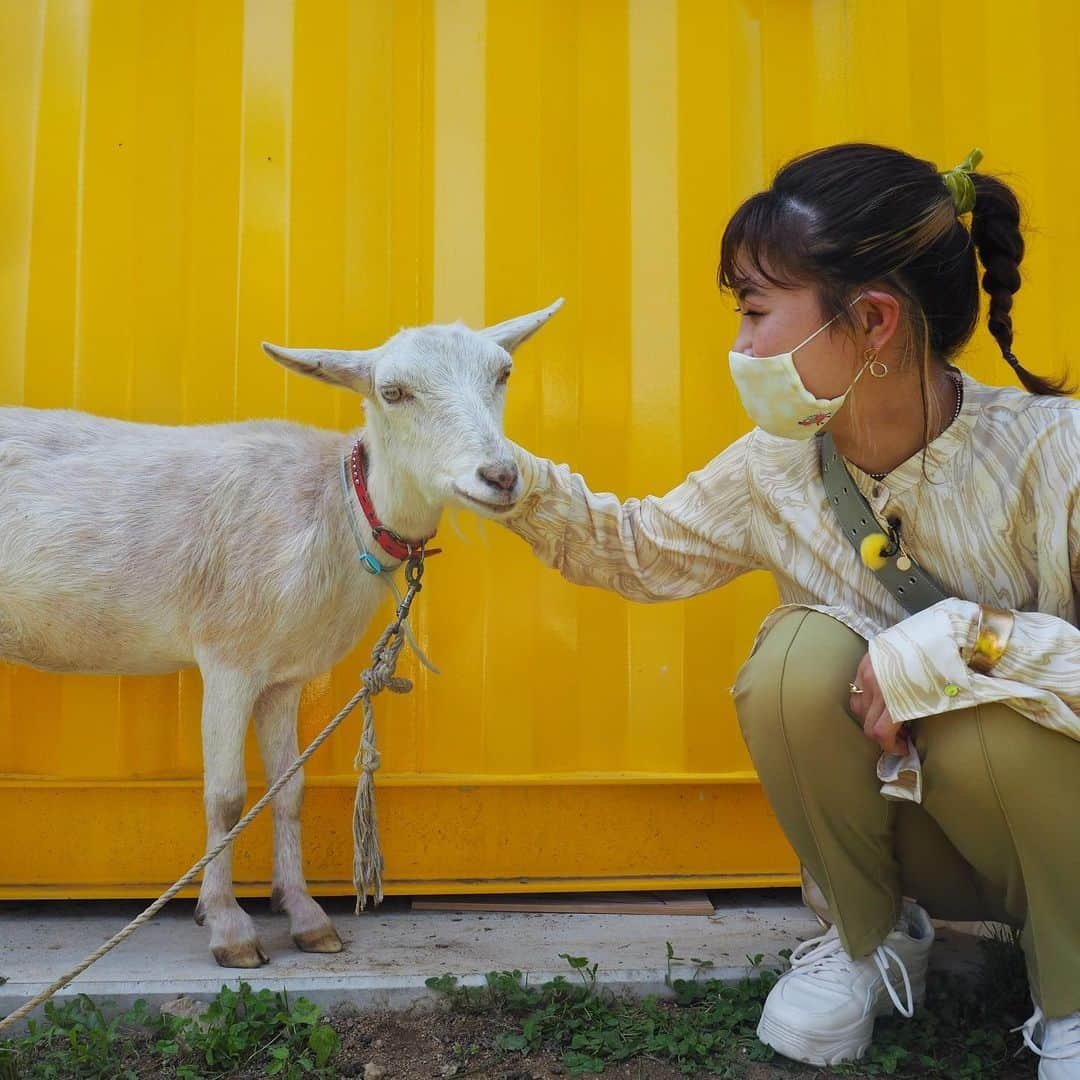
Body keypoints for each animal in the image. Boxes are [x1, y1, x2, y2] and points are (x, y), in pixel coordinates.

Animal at [2, 300, 565, 967]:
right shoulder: (228, 656)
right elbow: (225, 796)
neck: (338, 510)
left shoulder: (284, 673)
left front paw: (306, 917)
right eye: (392, 391)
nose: (501, 476)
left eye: (503, 372)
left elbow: (288, 790)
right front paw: (229, 928)